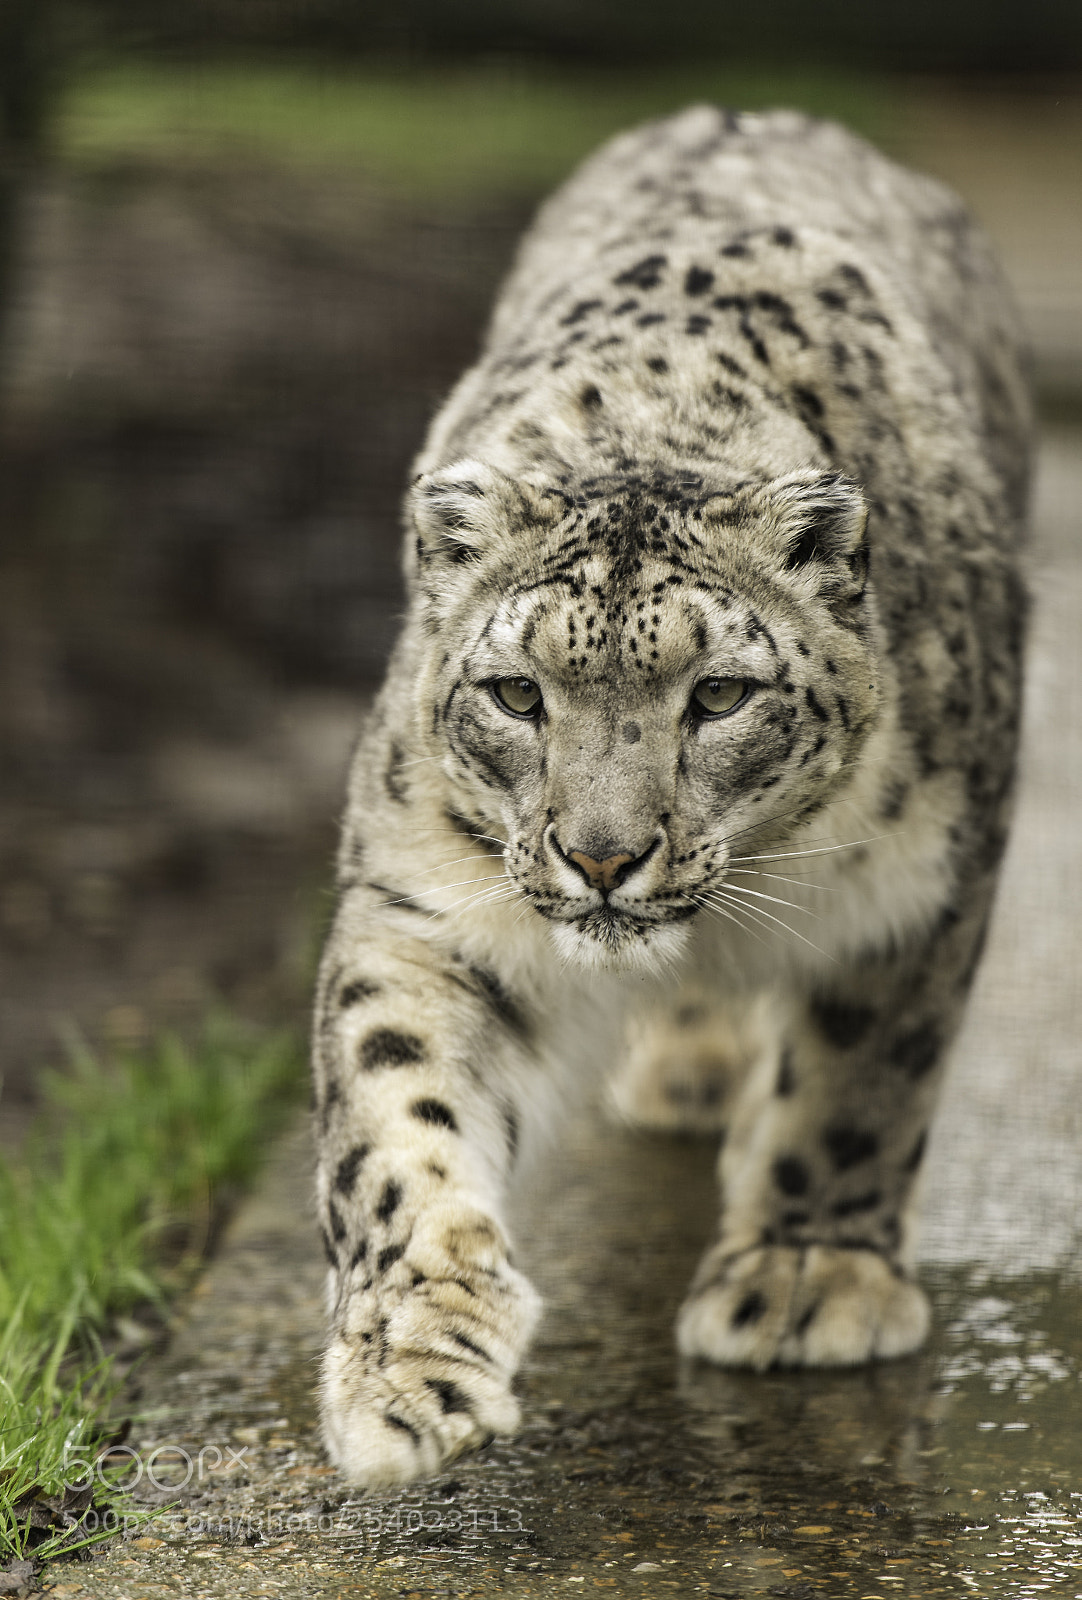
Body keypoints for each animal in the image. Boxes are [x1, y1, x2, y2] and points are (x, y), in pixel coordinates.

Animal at [311, 105, 1031, 1486]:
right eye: (515, 693)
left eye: (719, 695)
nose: (601, 857)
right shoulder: (426, 901)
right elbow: (394, 1113)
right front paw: (410, 1368)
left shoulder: (922, 882)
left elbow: (863, 1074)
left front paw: (805, 1280)